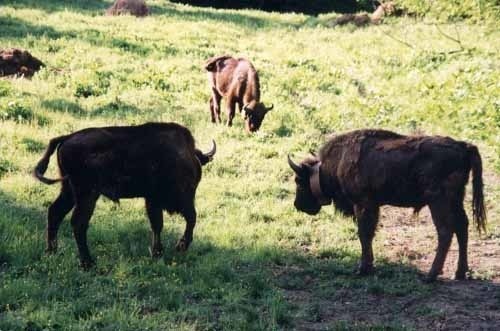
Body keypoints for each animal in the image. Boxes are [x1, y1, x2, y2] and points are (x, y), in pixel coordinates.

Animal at [32, 123, 217, 268]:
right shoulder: (182, 198)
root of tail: (66, 137)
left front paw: (157, 253)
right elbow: (191, 218)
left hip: (68, 191)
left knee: (55, 213)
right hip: (87, 195)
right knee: (78, 222)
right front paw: (180, 246)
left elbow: (157, 225)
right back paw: (88, 263)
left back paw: (52, 252)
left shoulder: (152, 200)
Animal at [288, 130, 486, 282]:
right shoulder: (372, 206)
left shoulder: (363, 205)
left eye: (299, 180)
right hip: (456, 200)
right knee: (462, 227)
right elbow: (368, 235)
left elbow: (364, 234)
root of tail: (464, 147)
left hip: (438, 201)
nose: (297, 205)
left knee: (445, 231)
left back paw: (430, 276)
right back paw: (459, 273)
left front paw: (362, 269)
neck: (338, 162)